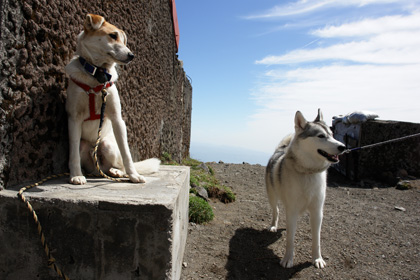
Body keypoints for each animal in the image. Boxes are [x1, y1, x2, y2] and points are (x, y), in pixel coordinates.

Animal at [65, 13, 159, 185]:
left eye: (123, 40)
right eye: (113, 36)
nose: (131, 55)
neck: (97, 75)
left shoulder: (117, 119)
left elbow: (127, 153)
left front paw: (134, 175)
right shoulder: (74, 118)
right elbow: (73, 153)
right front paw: (75, 175)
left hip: (108, 144)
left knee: (117, 164)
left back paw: (118, 172)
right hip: (84, 146)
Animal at [266, 108, 344, 268]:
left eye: (332, 135)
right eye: (321, 136)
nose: (343, 147)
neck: (308, 172)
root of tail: (279, 150)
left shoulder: (317, 212)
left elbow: (317, 239)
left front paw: (317, 259)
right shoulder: (292, 210)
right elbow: (290, 239)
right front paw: (287, 259)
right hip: (272, 197)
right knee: (276, 211)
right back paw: (273, 226)